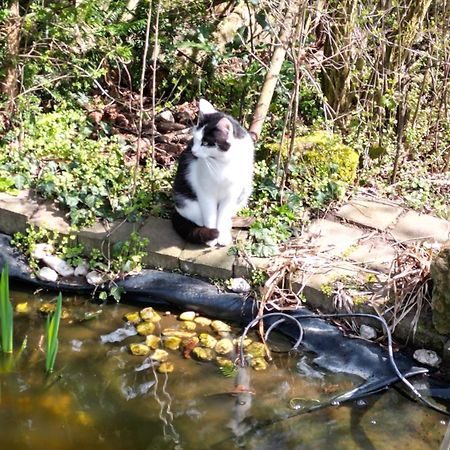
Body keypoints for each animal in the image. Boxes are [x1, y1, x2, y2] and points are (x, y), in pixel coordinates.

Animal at [173, 99, 253, 246]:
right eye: (195, 139)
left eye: (205, 143)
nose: (193, 151)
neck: (222, 163)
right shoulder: (205, 192)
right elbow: (210, 216)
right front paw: (212, 237)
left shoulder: (232, 194)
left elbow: (223, 215)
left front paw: (222, 236)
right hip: (186, 200)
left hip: (245, 190)